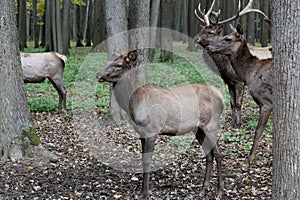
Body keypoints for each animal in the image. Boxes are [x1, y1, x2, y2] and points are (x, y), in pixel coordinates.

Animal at [96, 50, 225, 199]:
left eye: (118, 65)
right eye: (108, 60)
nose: (98, 74)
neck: (134, 104)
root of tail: (221, 97)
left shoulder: (152, 131)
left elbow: (148, 160)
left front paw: (146, 193)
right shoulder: (142, 134)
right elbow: (143, 159)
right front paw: (141, 191)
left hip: (211, 123)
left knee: (218, 153)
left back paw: (219, 192)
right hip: (198, 129)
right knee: (209, 154)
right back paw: (203, 189)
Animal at [193, 0, 270, 128]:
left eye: (210, 32)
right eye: (202, 29)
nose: (195, 38)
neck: (225, 66)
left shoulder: (239, 81)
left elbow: (238, 103)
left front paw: (238, 124)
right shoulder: (229, 81)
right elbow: (232, 102)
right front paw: (232, 123)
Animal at [207, 23, 274, 167]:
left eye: (228, 38)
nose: (209, 47)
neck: (248, 73)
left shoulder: (267, 102)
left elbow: (258, 130)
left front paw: (248, 160)